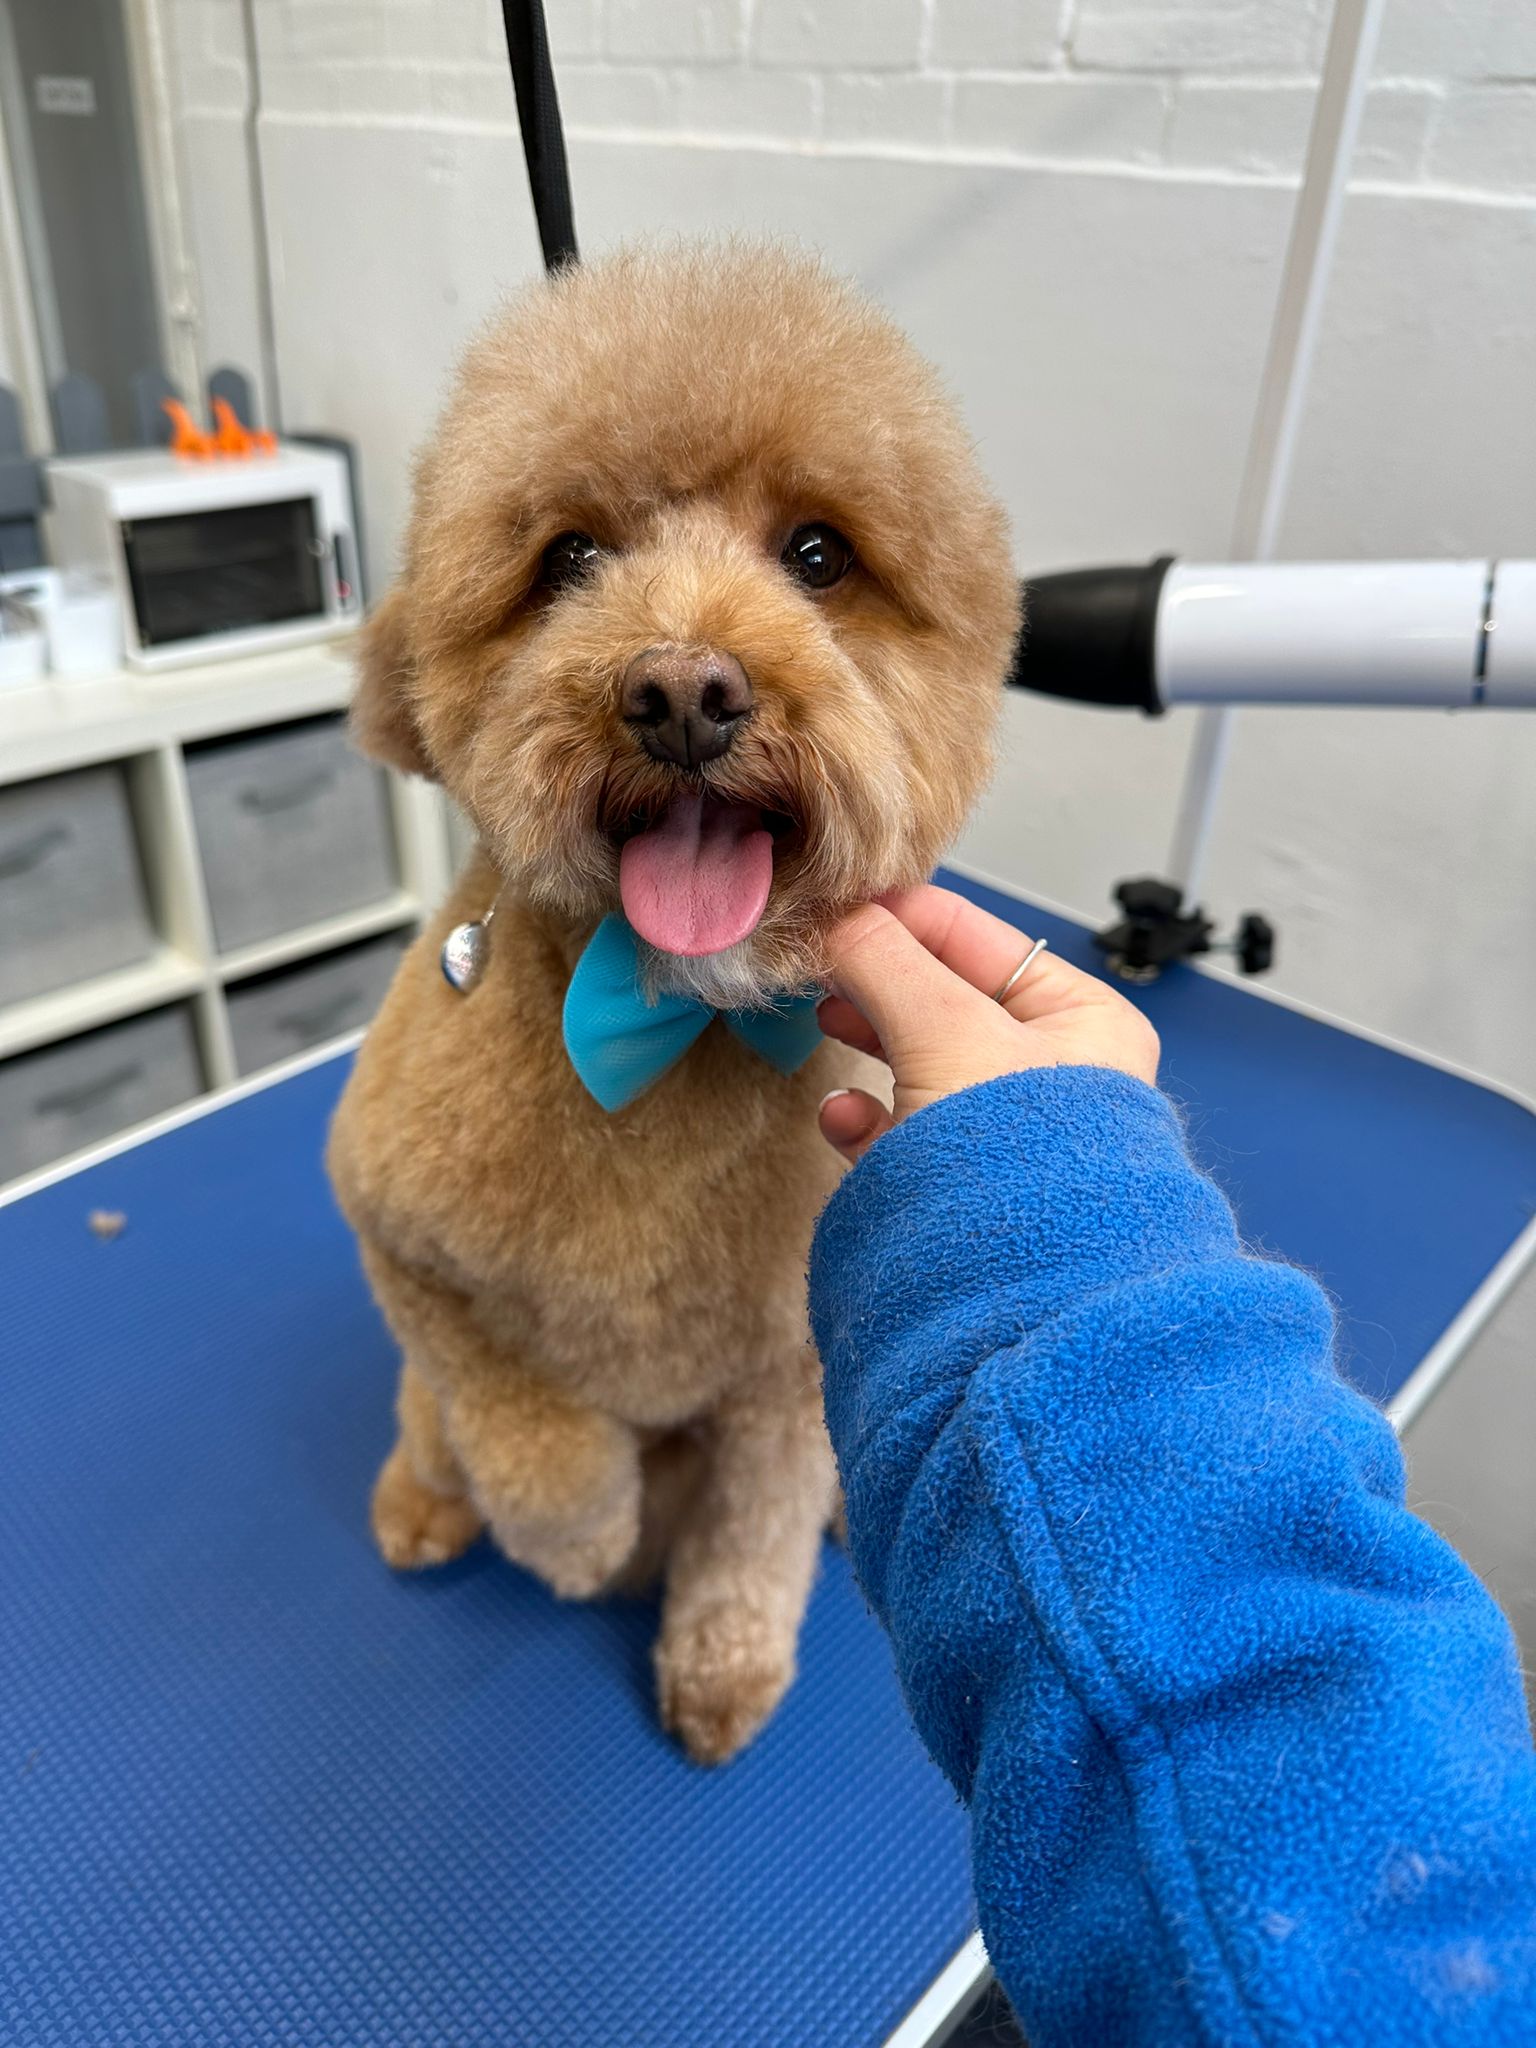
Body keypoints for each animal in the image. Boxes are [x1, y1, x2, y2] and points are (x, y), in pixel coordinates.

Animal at [325, 239, 1024, 1769]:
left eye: (818, 554)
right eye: (568, 559)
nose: (685, 688)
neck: (665, 1026)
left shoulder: (785, 1372)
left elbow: (752, 1531)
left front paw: (722, 1665)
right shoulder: (397, 1237)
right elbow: (524, 1427)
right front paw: (585, 1543)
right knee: (426, 1418)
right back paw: (422, 1503)